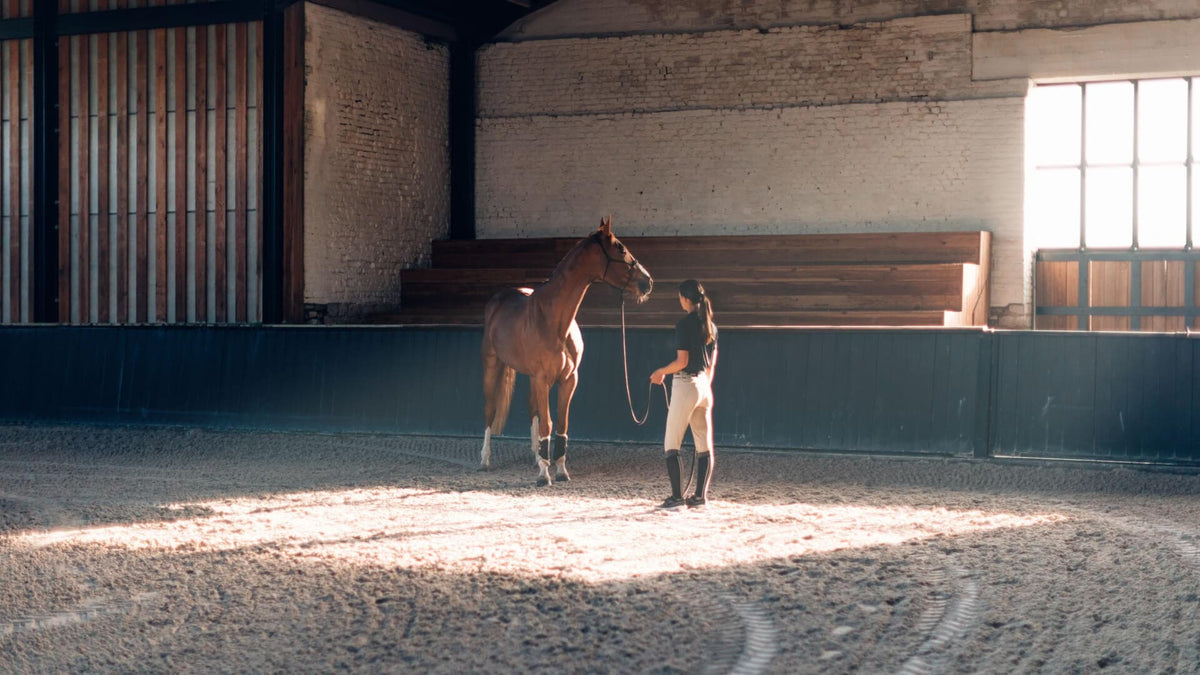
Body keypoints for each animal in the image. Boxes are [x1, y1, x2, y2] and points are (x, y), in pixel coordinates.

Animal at [479, 216, 653, 486]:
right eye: (620, 248)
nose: (648, 282)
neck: (553, 320)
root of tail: (499, 299)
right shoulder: (542, 379)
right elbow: (548, 424)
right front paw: (544, 476)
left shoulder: (568, 380)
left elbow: (561, 424)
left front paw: (559, 470)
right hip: (493, 365)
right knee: (489, 409)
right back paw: (485, 461)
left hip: (530, 377)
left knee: (533, 410)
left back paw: (537, 458)